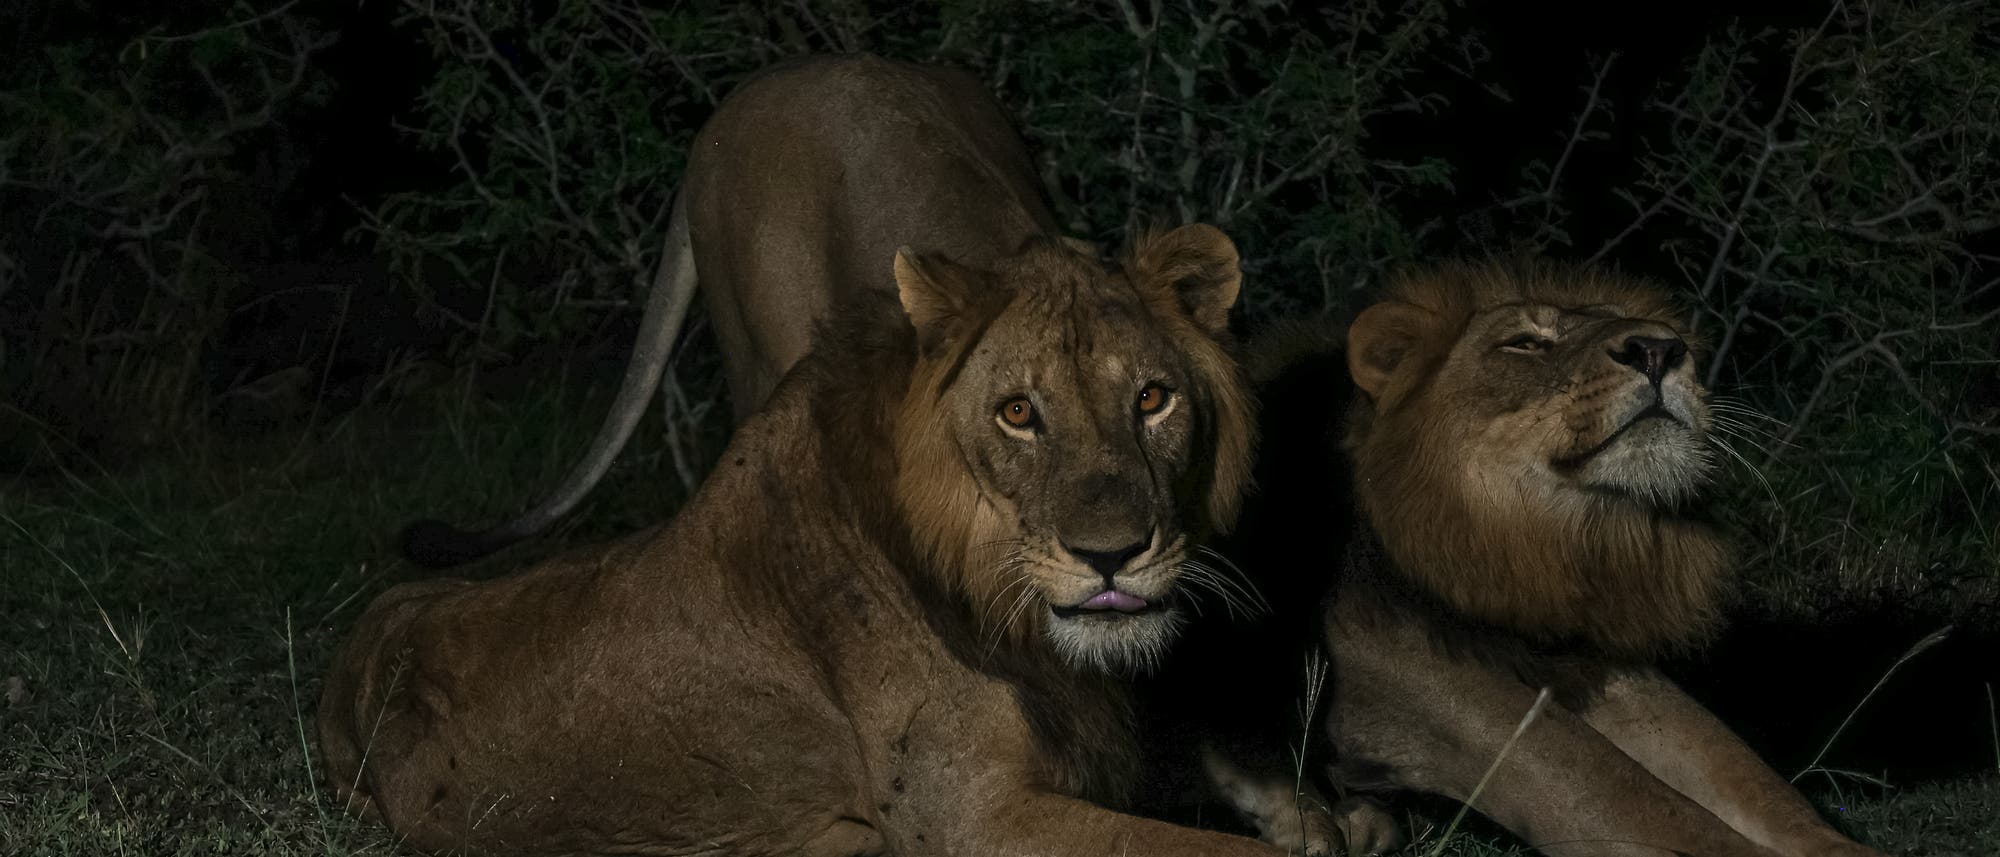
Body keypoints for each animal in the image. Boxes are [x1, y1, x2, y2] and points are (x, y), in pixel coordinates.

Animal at [1160, 260, 1888, 857]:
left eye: (1656, 334)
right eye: (1526, 343)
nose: (1660, 348)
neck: (1538, 543)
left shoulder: (1583, 659)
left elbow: (1748, 777)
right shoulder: (1424, 679)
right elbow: (1627, 795)